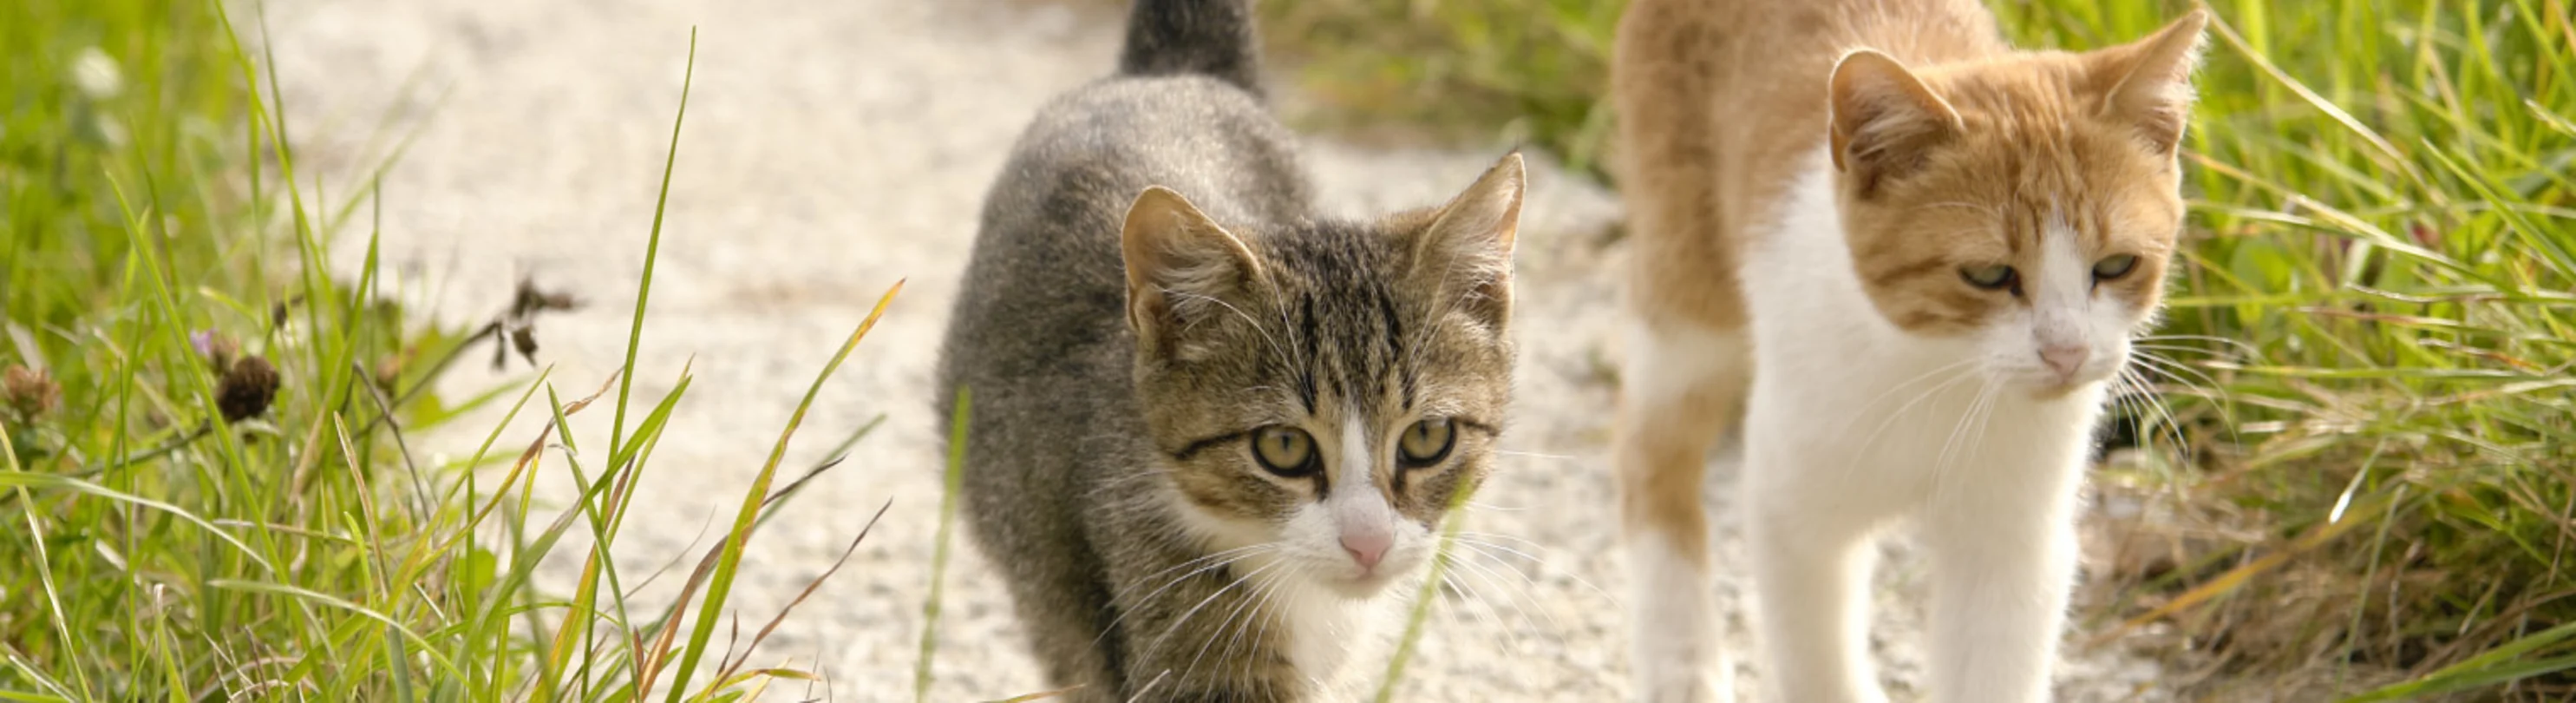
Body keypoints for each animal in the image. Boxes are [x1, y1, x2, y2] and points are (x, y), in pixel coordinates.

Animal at [1618, 0, 2205, 695]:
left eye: (2115, 265)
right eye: (1987, 274)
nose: (2067, 352)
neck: (1937, 374)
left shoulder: (2012, 545)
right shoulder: (1792, 518)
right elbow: (1817, 664)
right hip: (1686, 295)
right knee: (1652, 458)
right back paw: (1682, 664)